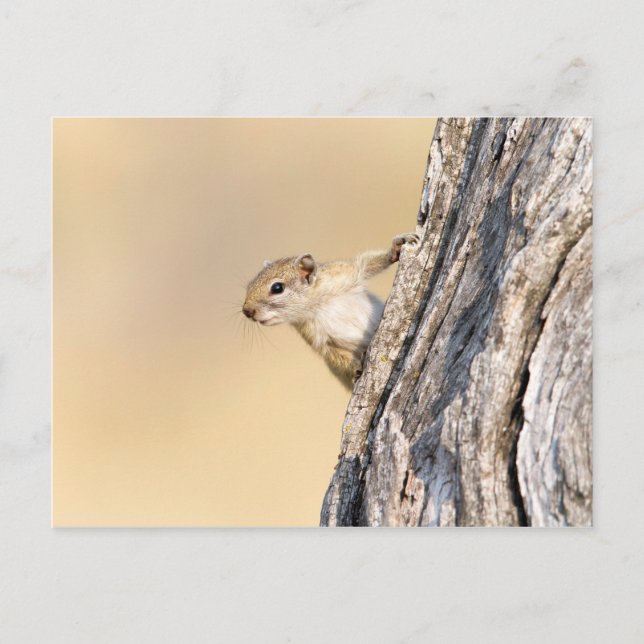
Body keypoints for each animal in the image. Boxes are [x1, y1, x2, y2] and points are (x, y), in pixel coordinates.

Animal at [242, 232, 419, 390]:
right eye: (249, 285)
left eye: (277, 288)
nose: (247, 311)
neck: (318, 303)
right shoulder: (318, 338)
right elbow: (335, 356)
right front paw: (356, 367)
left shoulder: (345, 273)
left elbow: (366, 264)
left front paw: (397, 246)